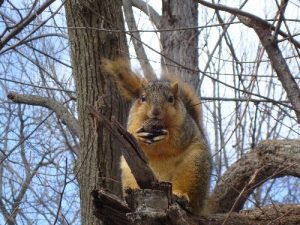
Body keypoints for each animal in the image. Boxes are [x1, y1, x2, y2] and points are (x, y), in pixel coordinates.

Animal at [102, 58, 211, 214]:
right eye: (142, 98)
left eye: (171, 99)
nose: (155, 112)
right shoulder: (132, 122)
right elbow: (131, 132)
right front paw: (139, 136)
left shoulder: (185, 127)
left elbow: (177, 138)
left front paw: (166, 136)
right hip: (129, 171)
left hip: (195, 166)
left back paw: (181, 194)